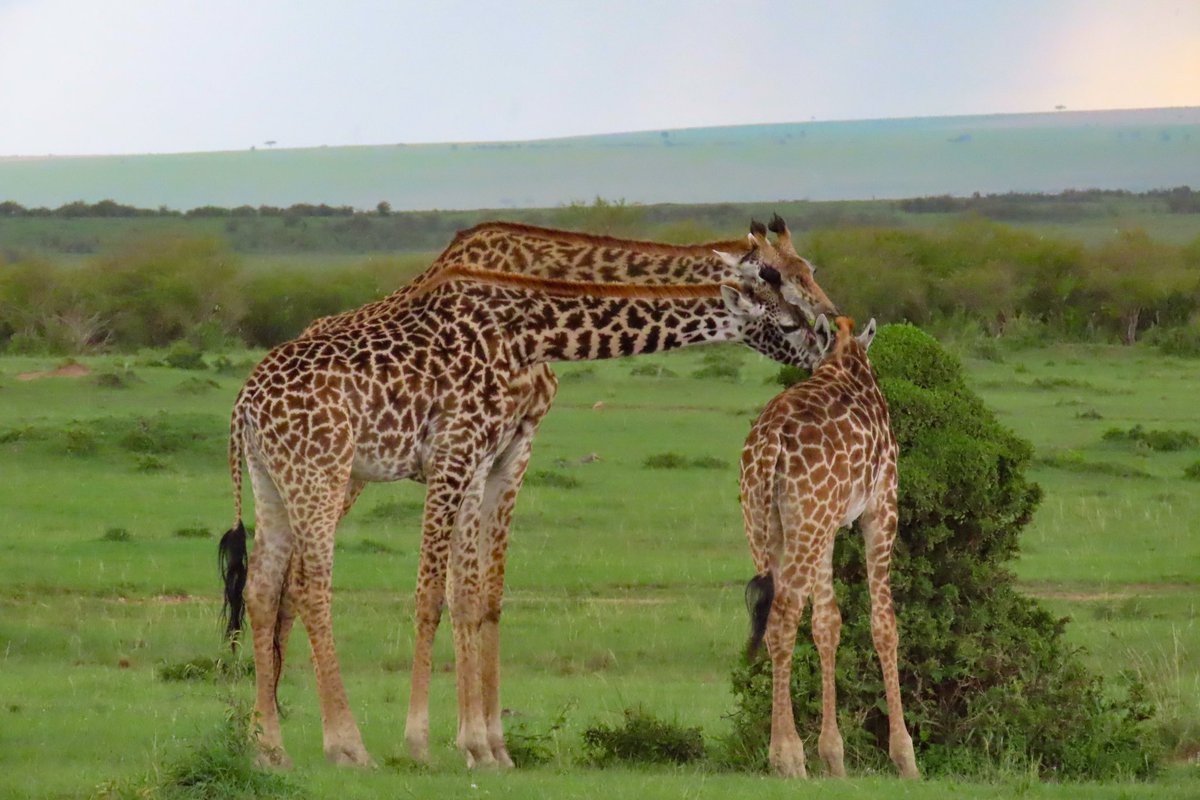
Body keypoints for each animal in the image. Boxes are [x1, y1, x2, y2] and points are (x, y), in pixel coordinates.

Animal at [219, 262, 827, 769]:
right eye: (790, 319)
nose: (827, 342)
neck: (529, 334)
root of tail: (244, 402)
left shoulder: (490, 462)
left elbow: (475, 595)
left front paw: (485, 747)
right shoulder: (456, 455)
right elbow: (433, 594)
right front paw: (423, 743)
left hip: (274, 479)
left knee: (263, 588)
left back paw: (270, 747)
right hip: (321, 472)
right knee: (309, 586)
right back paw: (348, 746)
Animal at [739, 313, 920, 780]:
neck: (845, 358)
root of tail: (769, 443)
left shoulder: (829, 523)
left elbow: (827, 623)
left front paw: (834, 757)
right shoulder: (881, 506)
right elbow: (884, 623)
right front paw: (905, 757)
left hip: (769, 522)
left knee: (773, 615)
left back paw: (788, 753)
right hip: (809, 517)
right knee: (784, 615)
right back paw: (787, 757)